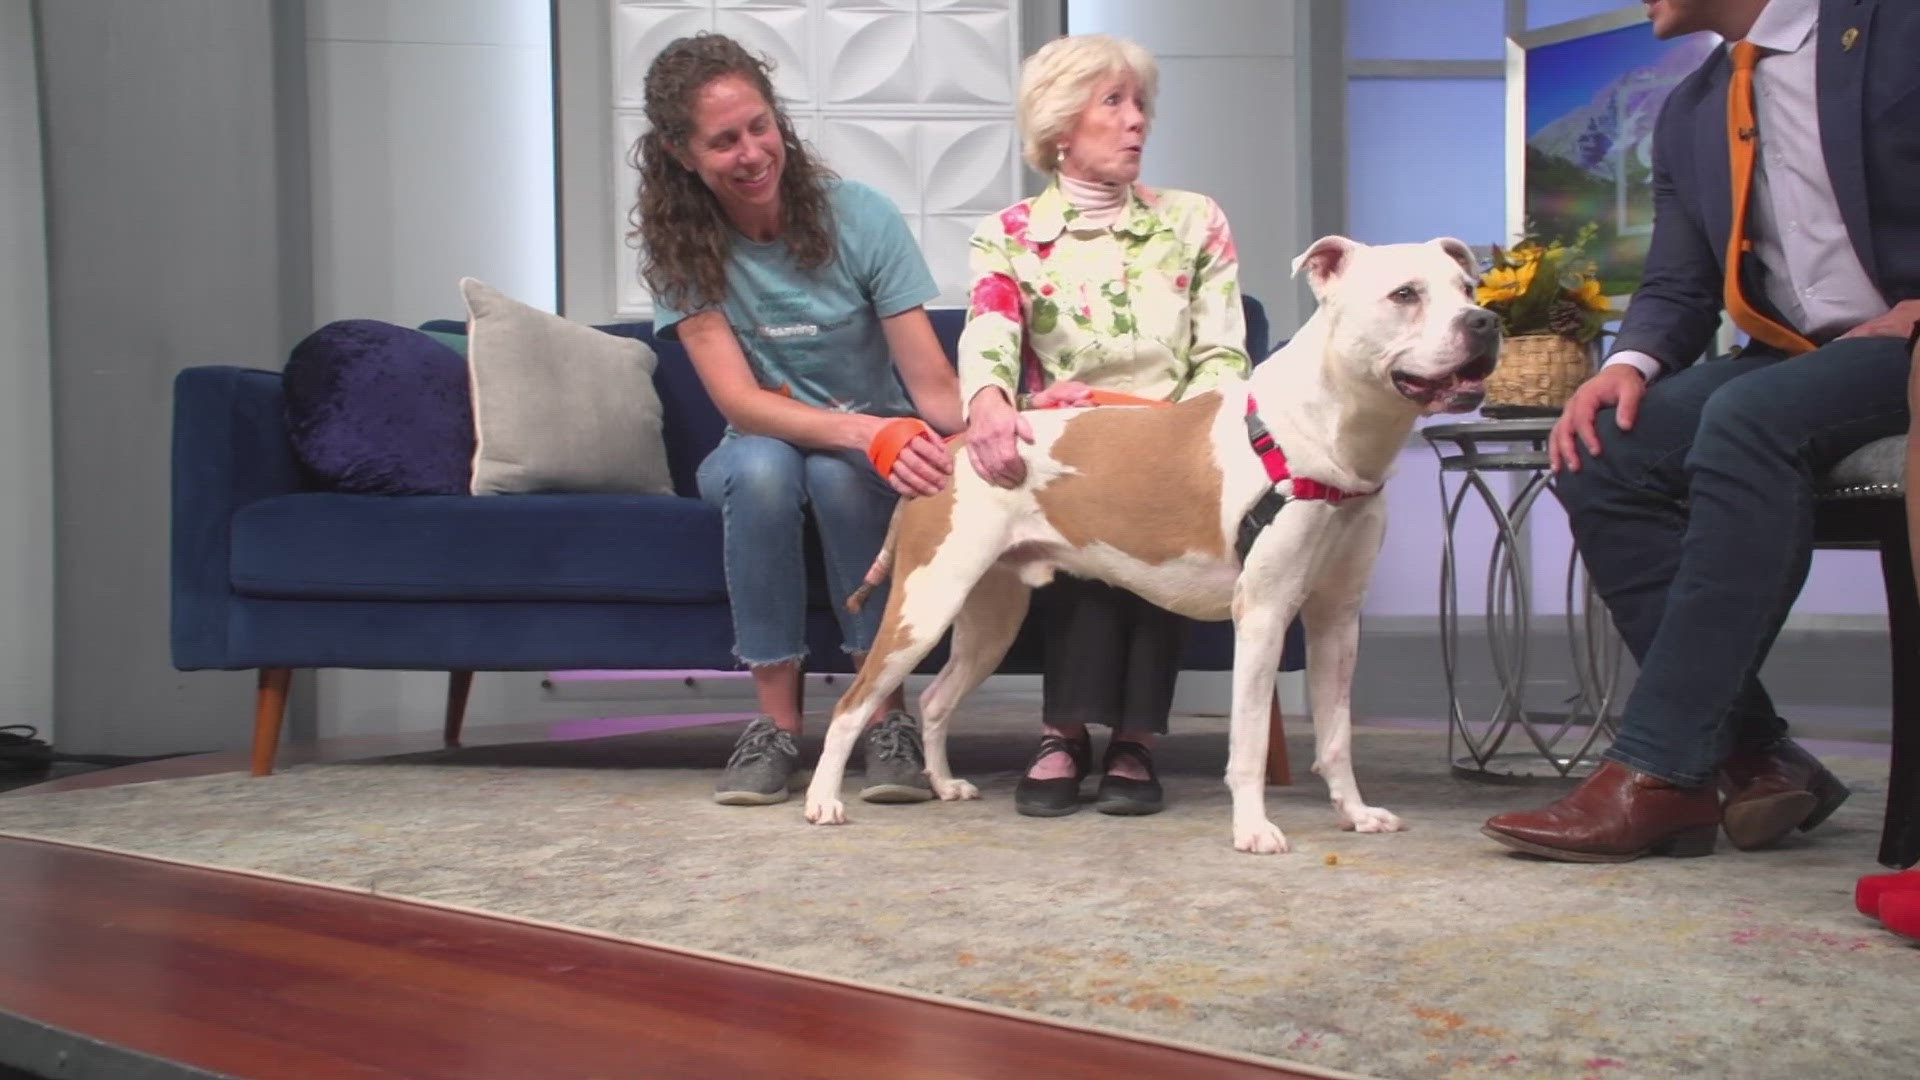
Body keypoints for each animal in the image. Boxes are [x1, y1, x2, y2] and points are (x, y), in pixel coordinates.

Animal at [802, 235, 1489, 849]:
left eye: (1467, 288)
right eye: (1405, 294)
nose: (1484, 322)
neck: (1321, 436)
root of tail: (952, 444)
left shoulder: (1337, 620)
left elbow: (1337, 735)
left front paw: (1356, 813)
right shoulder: (1264, 615)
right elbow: (1247, 743)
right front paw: (1252, 829)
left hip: (989, 617)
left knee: (939, 699)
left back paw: (945, 784)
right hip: (924, 605)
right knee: (852, 706)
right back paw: (823, 802)